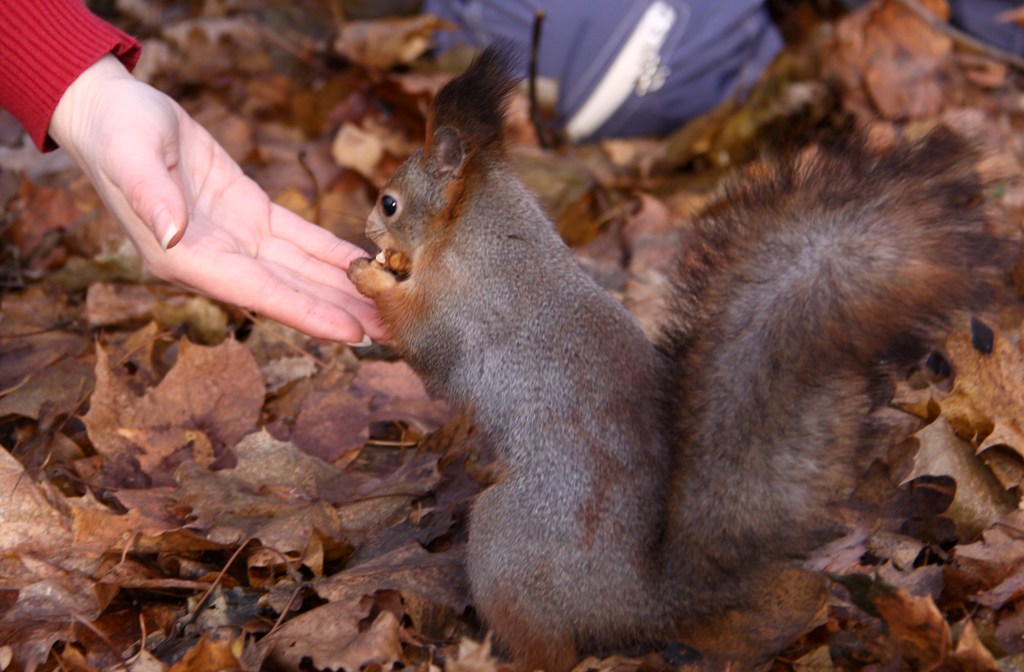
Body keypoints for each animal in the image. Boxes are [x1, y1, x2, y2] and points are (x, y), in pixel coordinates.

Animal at [348, 47, 1003, 672]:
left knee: (550, 652)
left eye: (389, 203)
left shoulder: (460, 307)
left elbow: (422, 340)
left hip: (506, 545)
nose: (366, 229)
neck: (481, 232)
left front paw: (368, 277)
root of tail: (644, 601)